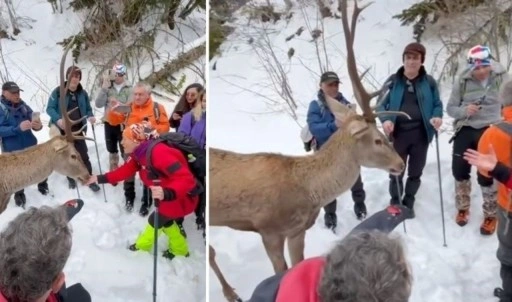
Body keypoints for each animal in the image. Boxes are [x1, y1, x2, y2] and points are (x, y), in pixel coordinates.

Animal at [206, 1, 410, 300]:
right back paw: (231, 292)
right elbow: (280, 271)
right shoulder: (268, 229)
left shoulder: (297, 230)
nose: (400, 164)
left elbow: (297, 264)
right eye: (376, 140)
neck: (306, 191)